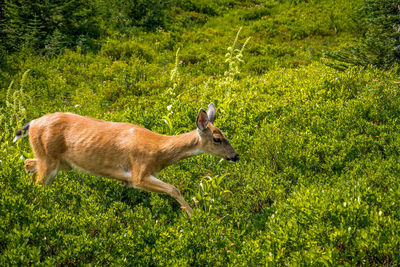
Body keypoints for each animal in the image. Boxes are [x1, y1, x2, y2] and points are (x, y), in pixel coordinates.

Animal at [12, 103, 239, 218]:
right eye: (217, 139)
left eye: (225, 134)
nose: (235, 156)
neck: (159, 150)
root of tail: (33, 122)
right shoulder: (139, 173)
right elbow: (174, 189)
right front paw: (195, 217)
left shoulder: (129, 180)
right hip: (49, 159)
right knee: (38, 183)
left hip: (58, 162)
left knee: (28, 165)